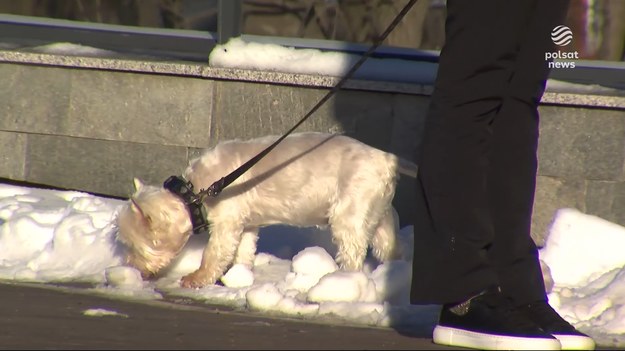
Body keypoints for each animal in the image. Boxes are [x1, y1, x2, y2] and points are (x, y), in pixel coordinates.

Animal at [117, 132, 416, 288]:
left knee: (352, 250)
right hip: (379, 215)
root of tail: (387, 159)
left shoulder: (226, 223)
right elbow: (243, 251)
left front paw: (197, 278)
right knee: (389, 247)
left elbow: (214, 254)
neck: (194, 193)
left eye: (134, 246)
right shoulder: (246, 224)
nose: (129, 267)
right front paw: (241, 276)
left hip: (350, 211)